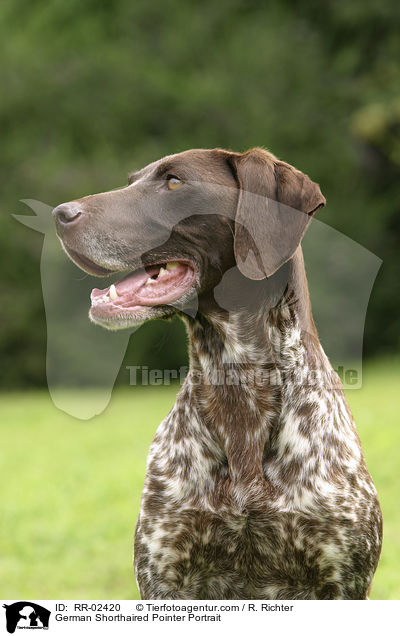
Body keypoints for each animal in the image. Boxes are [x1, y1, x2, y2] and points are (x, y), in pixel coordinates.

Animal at [53, 147, 382, 600]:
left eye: (174, 181)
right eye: (132, 181)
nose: (59, 214)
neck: (237, 383)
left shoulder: (344, 583)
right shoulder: (163, 578)